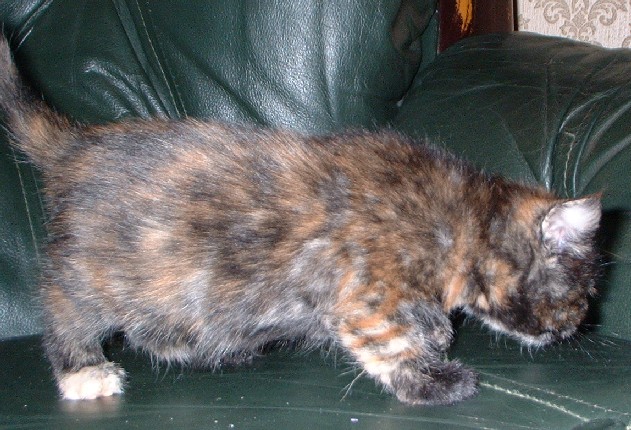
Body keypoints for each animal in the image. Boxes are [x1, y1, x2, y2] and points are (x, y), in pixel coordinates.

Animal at [0, 35, 601, 405]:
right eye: (580, 291)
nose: (577, 327)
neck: (461, 222)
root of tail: (76, 145)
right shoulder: (368, 296)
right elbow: (393, 343)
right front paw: (433, 381)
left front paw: (438, 334)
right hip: (97, 274)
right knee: (62, 306)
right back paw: (82, 370)